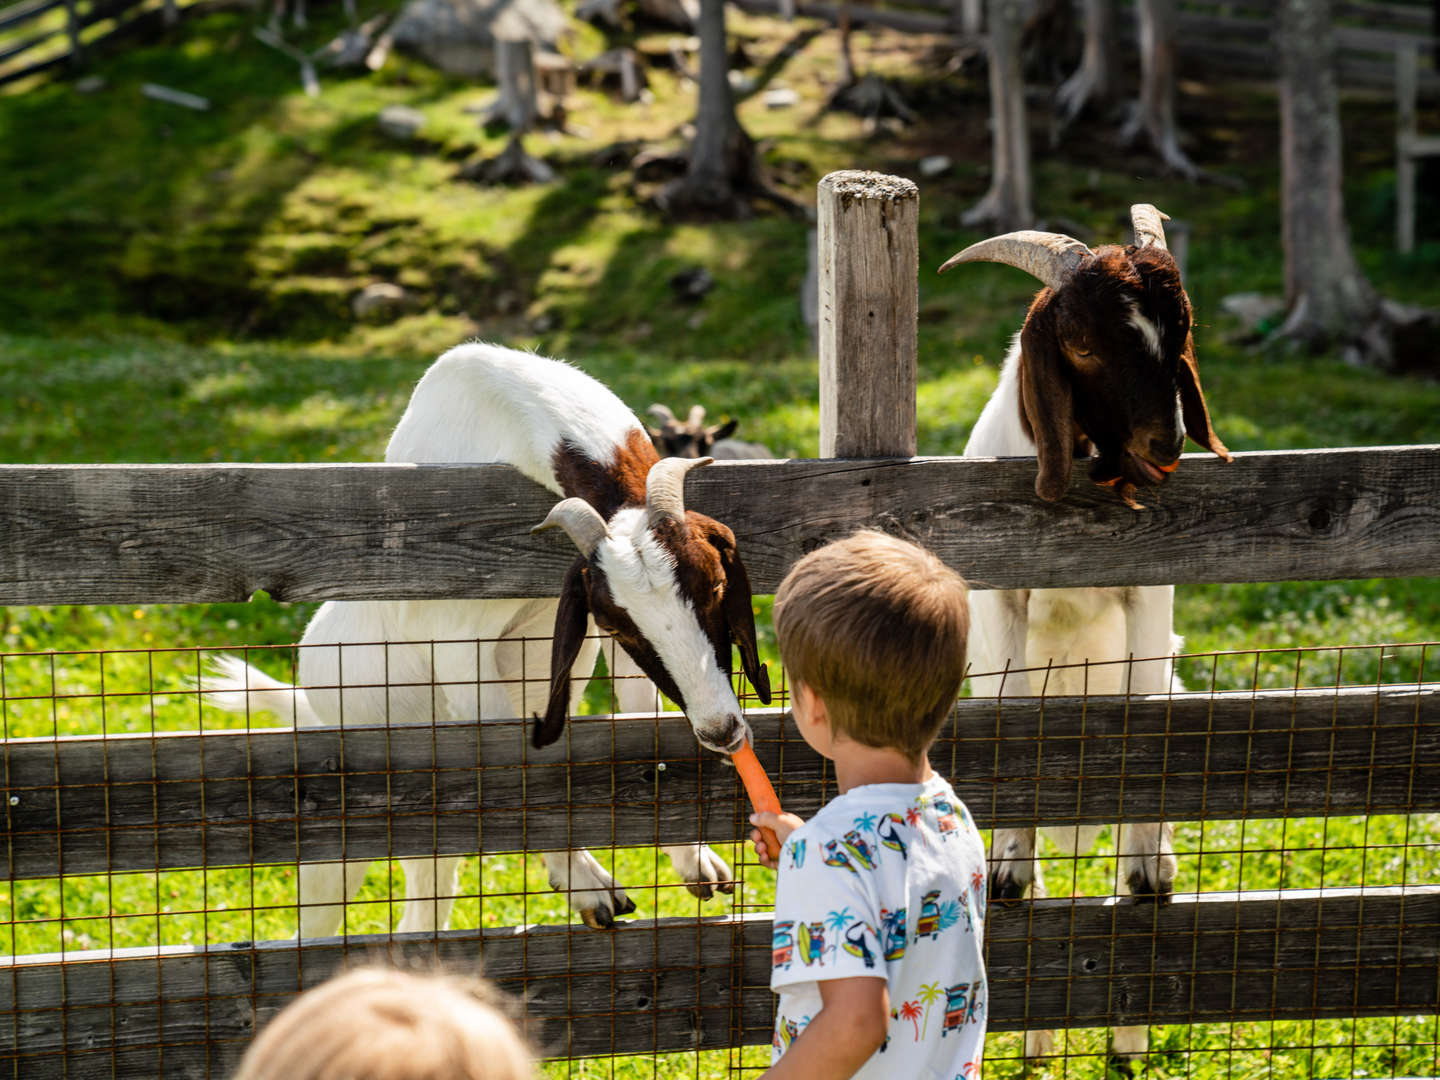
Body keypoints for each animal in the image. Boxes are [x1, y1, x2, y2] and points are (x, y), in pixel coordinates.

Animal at [938, 203, 1232, 1065]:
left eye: (1180, 331)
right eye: (1086, 344)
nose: (1168, 444)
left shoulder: (1150, 592)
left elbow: (1144, 725)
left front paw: (1145, 870)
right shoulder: (1003, 595)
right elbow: (1010, 722)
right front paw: (1008, 869)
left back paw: (1129, 1035)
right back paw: (1038, 1042)